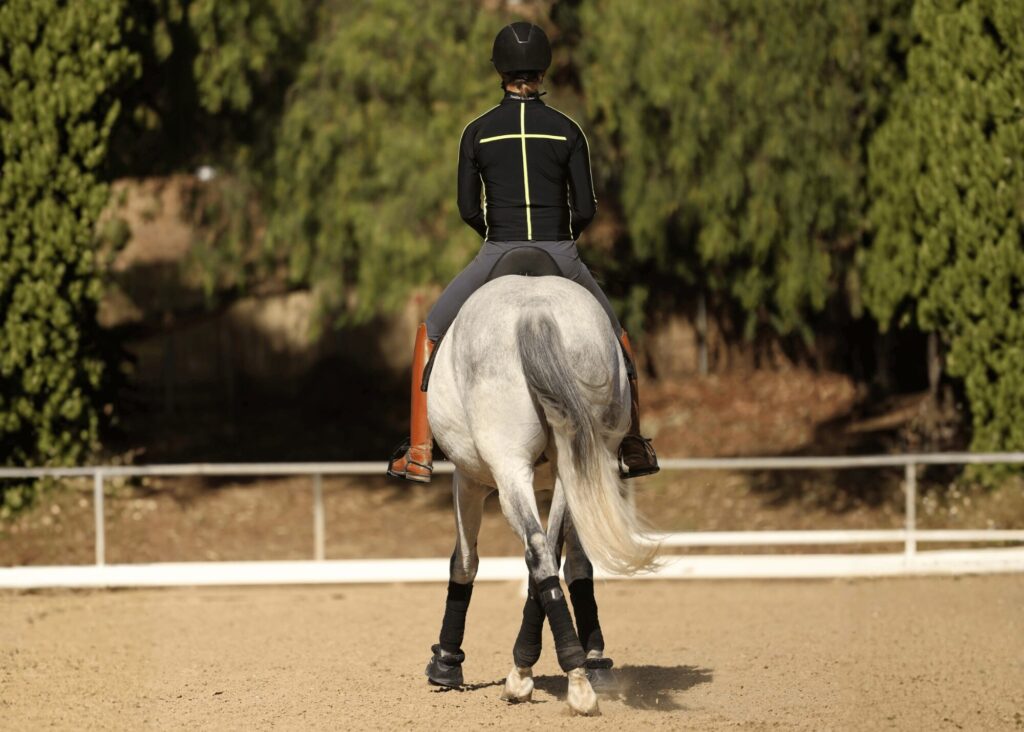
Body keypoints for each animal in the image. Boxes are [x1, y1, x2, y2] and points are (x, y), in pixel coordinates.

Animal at [422, 270, 657, 716]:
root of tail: (535, 310)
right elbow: (575, 562)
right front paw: (594, 660)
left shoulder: (469, 479)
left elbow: (464, 561)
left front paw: (445, 663)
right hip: (576, 464)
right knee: (548, 554)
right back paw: (564, 672)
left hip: (508, 466)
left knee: (536, 549)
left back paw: (548, 679)